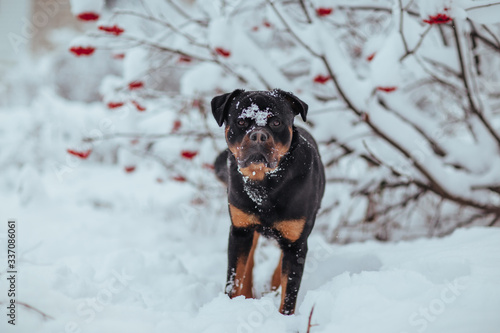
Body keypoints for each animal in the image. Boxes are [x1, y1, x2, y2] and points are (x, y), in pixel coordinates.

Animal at [210, 88, 324, 314]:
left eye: (276, 122)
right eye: (241, 122)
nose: (258, 135)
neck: (264, 185)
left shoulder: (297, 243)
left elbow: (289, 291)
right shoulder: (239, 230)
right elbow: (234, 277)